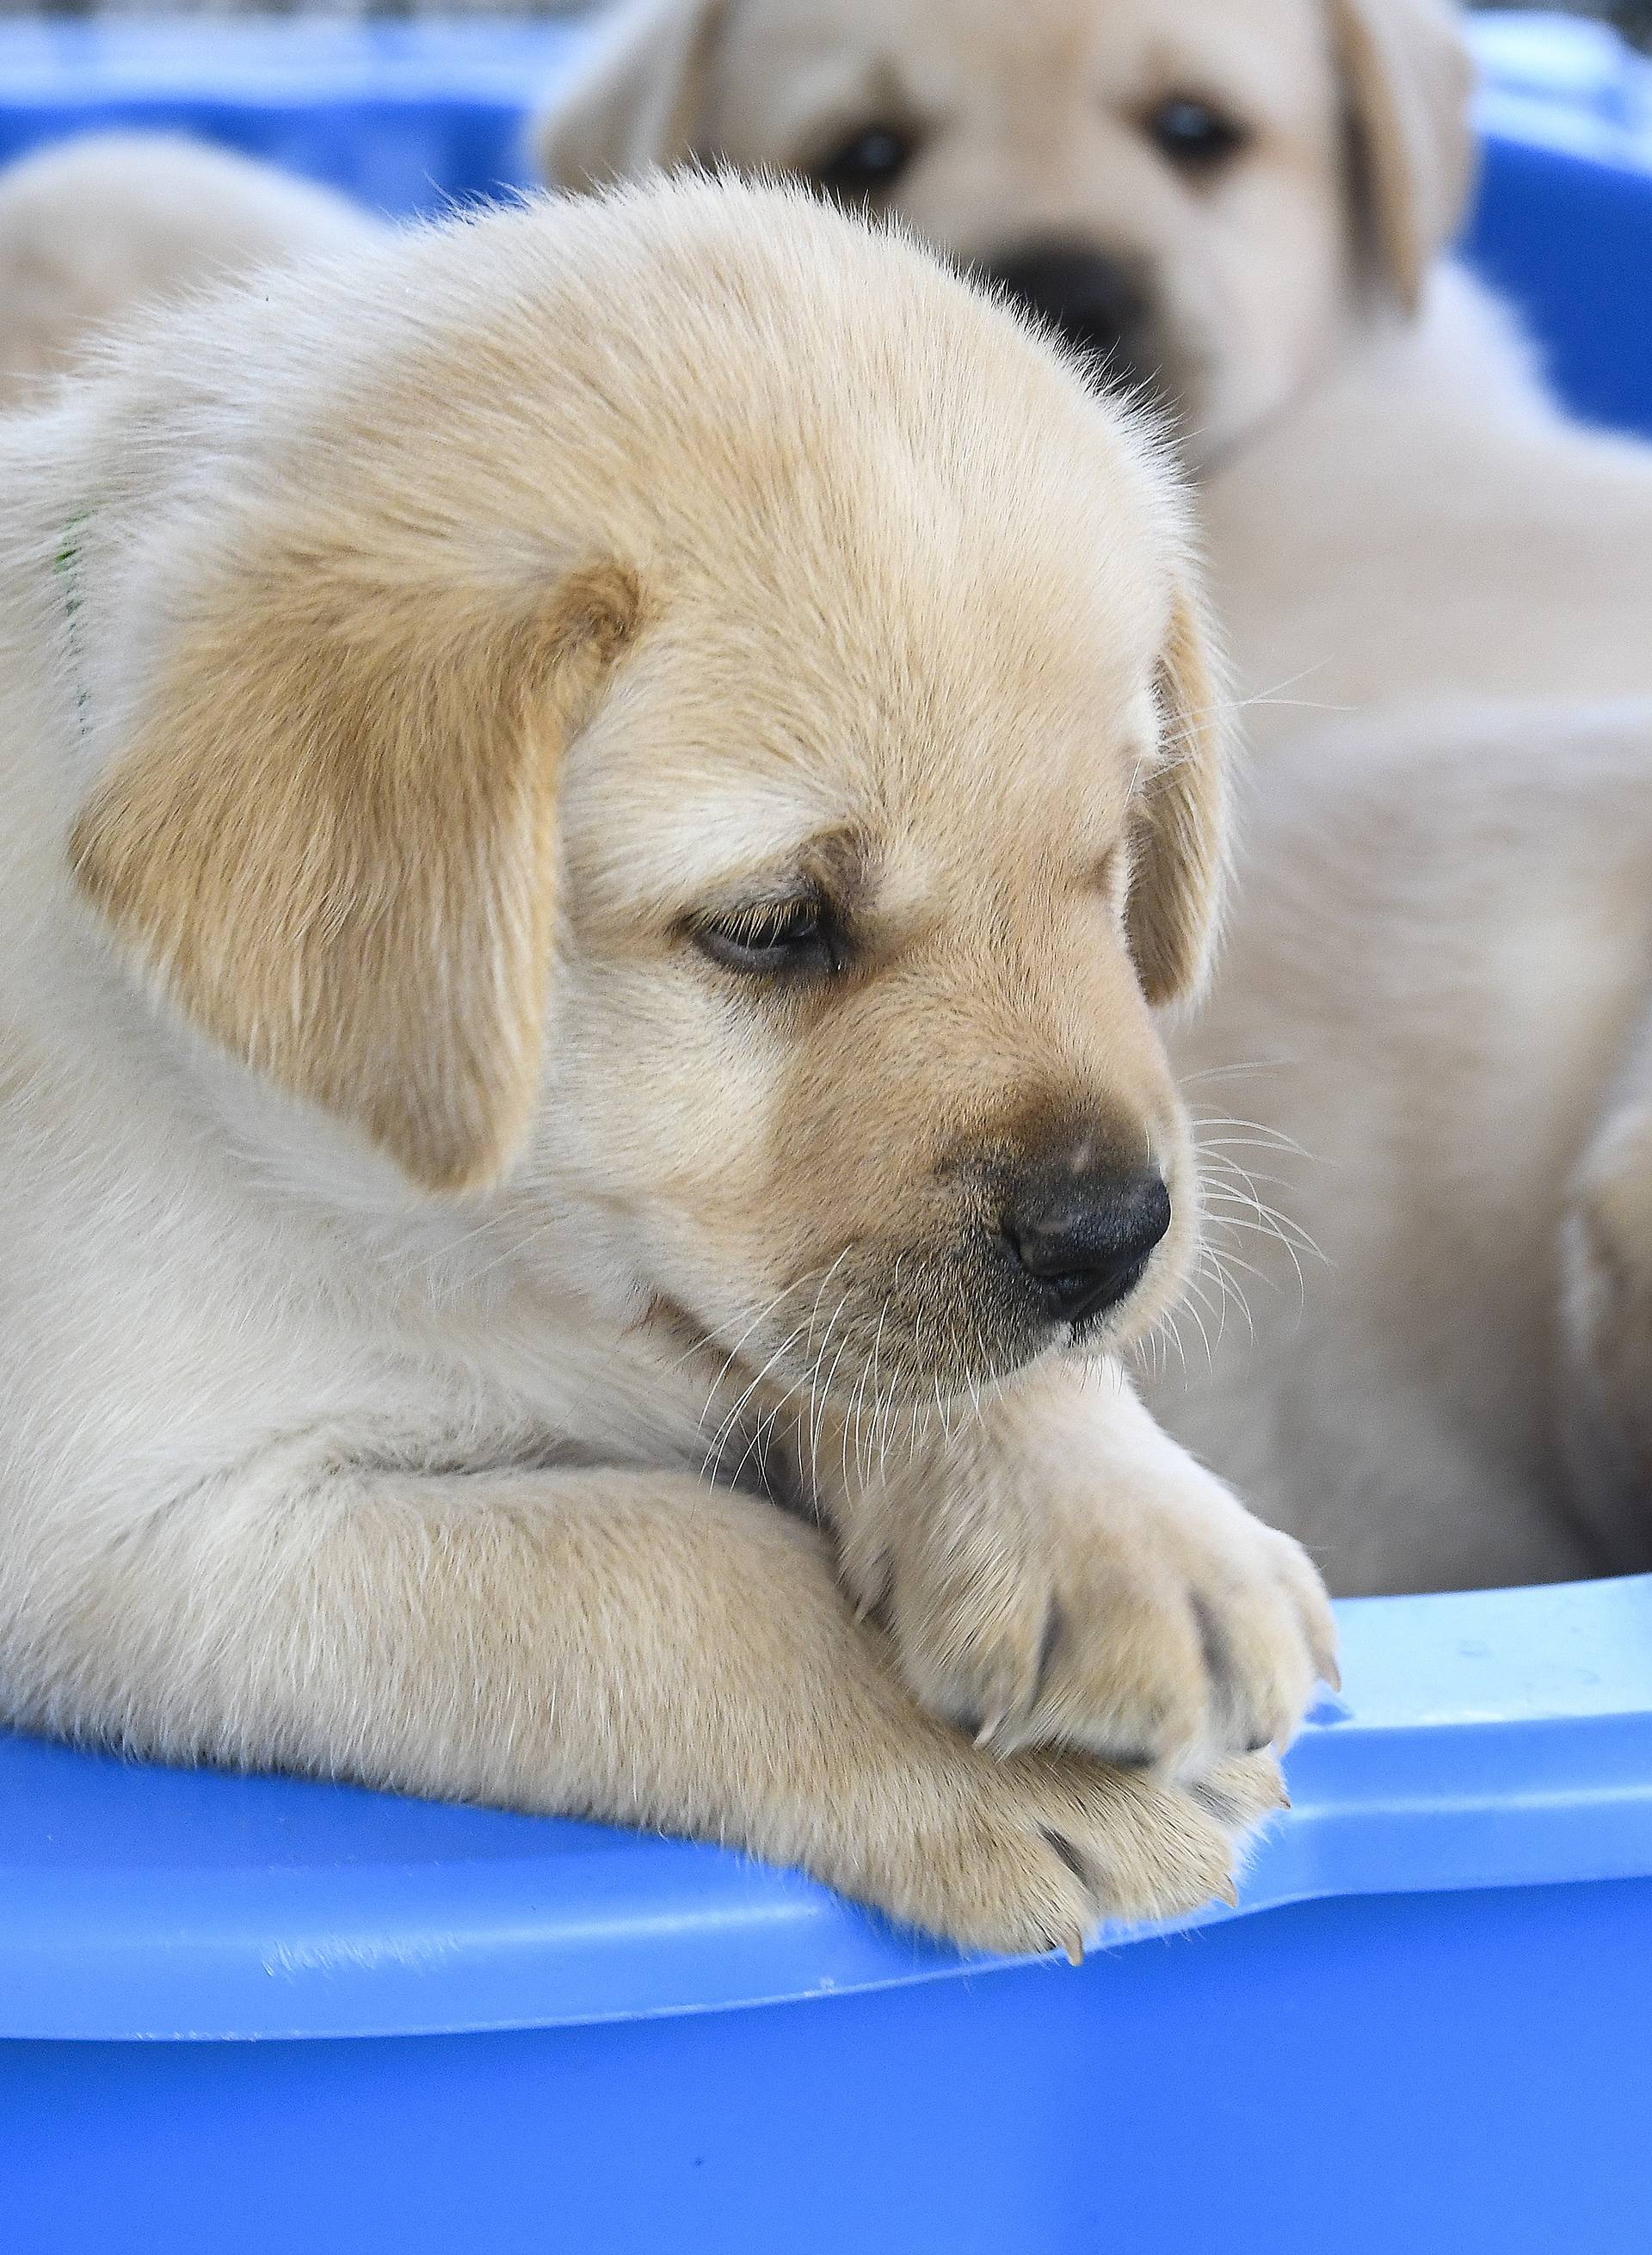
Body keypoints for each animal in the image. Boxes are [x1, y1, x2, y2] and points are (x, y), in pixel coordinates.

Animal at [0, 176, 1325, 1957]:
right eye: (771, 926)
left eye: (1107, 862)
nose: (1114, 1234)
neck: (422, 1229)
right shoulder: (143, 1540)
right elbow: (670, 1566)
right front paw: (984, 1772)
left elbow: (883, 1370)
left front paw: (1120, 1530)